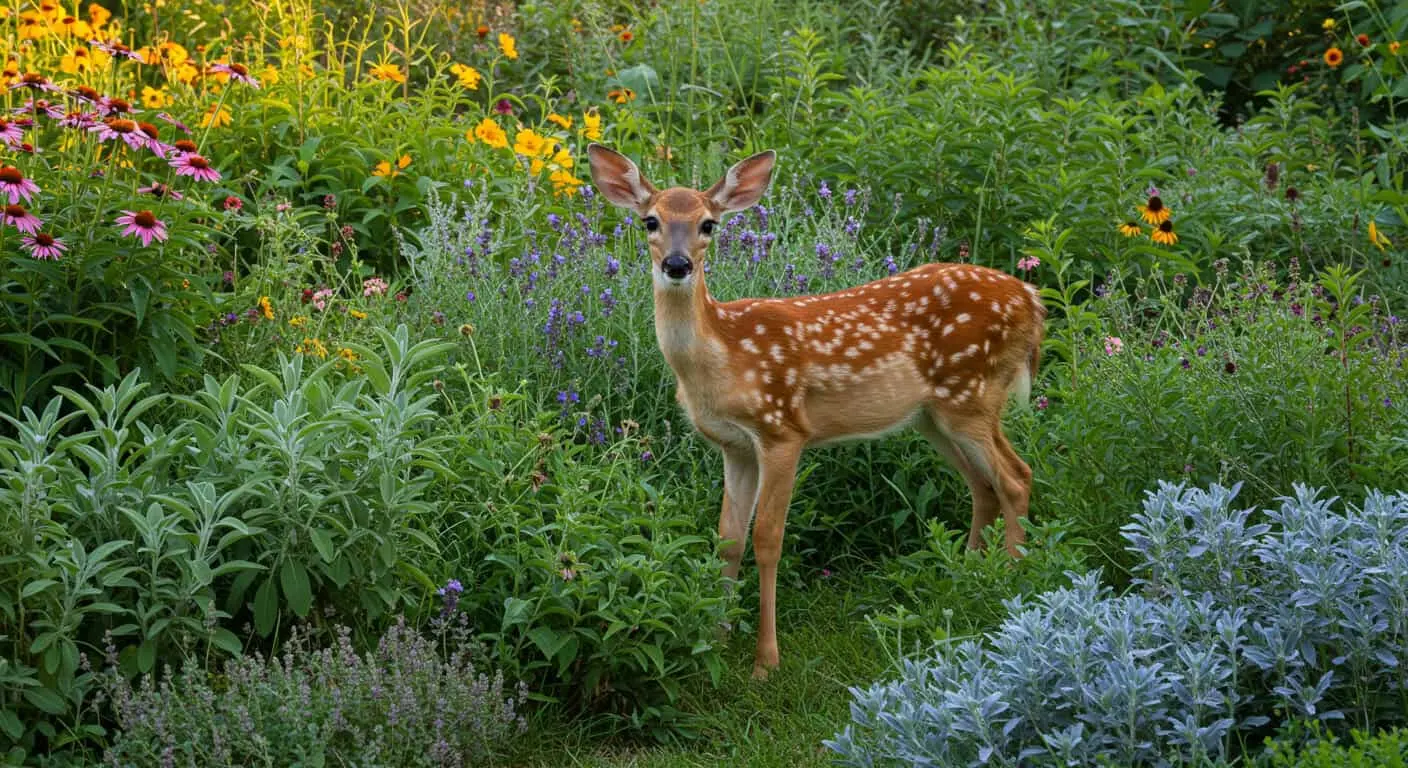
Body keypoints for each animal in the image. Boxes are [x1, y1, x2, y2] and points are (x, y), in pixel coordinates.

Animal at [582, 142, 1047, 676]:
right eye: (650, 221)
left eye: (708, 224)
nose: (677, 265)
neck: (722, 356)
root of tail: (1033, 300)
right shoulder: (734, 445)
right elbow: (727, 537)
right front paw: (715, 637)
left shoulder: (782, 430)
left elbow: (767, 538)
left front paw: (765, 661)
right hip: (932, 416)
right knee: (983, 485)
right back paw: (966, 577)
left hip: (971, 394)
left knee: (1016, 477)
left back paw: (1012, 586)